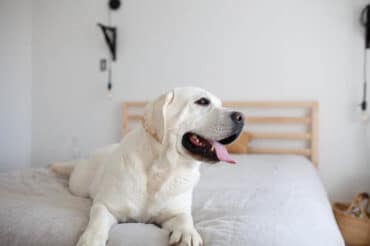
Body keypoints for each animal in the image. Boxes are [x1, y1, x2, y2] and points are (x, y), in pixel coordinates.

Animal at [51, 87, 243, 245]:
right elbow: (97, 219)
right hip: (78, 184)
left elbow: (184, 218)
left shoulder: (176, 211)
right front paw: (90, 239)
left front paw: (187, 233)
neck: (162, 170)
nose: (241, 116)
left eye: (221, 104)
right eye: (202, 101)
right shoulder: (106, 205)